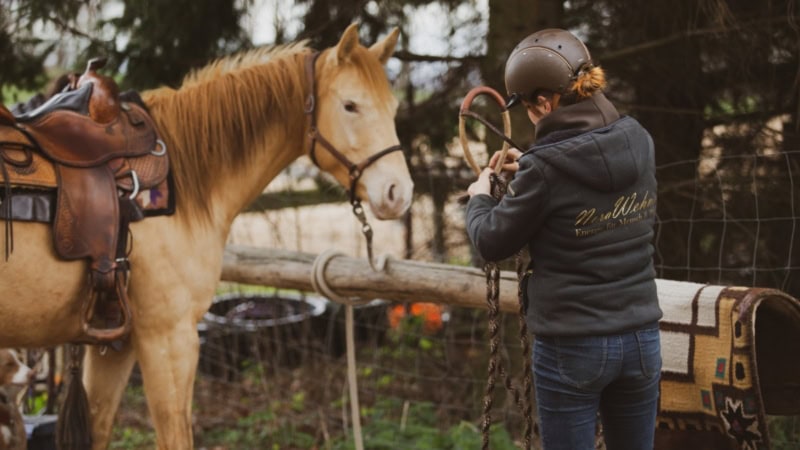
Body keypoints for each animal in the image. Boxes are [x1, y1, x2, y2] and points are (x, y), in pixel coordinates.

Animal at [0, 23, 412, 449]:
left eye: (392, 108)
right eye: (350, 105)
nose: (399, 192)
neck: (181, 179)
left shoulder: (114, 345)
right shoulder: (169, 338)